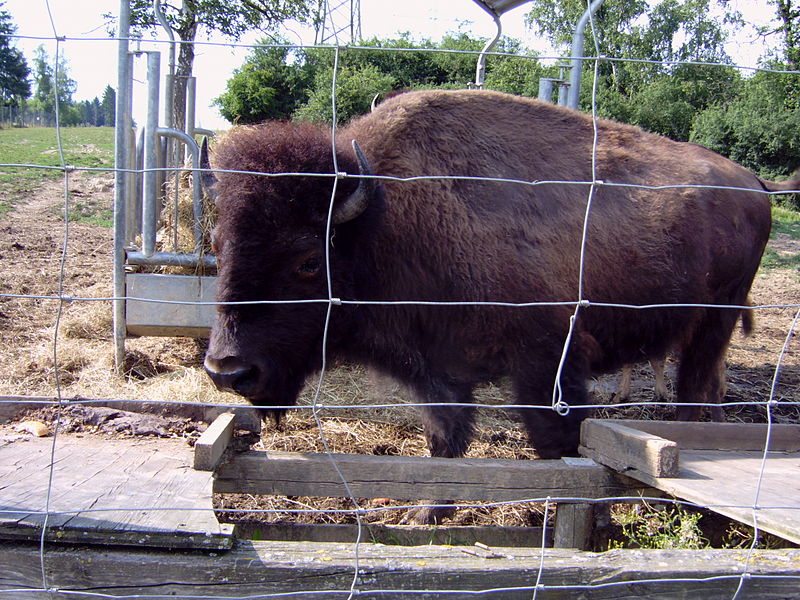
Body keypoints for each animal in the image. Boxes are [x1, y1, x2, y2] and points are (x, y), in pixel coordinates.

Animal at [202, 89, 792, 462]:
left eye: (308, 259)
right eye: (218, 245)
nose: (228, 372)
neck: (386, 220)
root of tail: (753, 183)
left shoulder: (548, 365)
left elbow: (556, 444)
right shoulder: (439, 372)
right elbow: (445, 443)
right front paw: (426, 519)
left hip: (713, 322)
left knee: (696, 391)